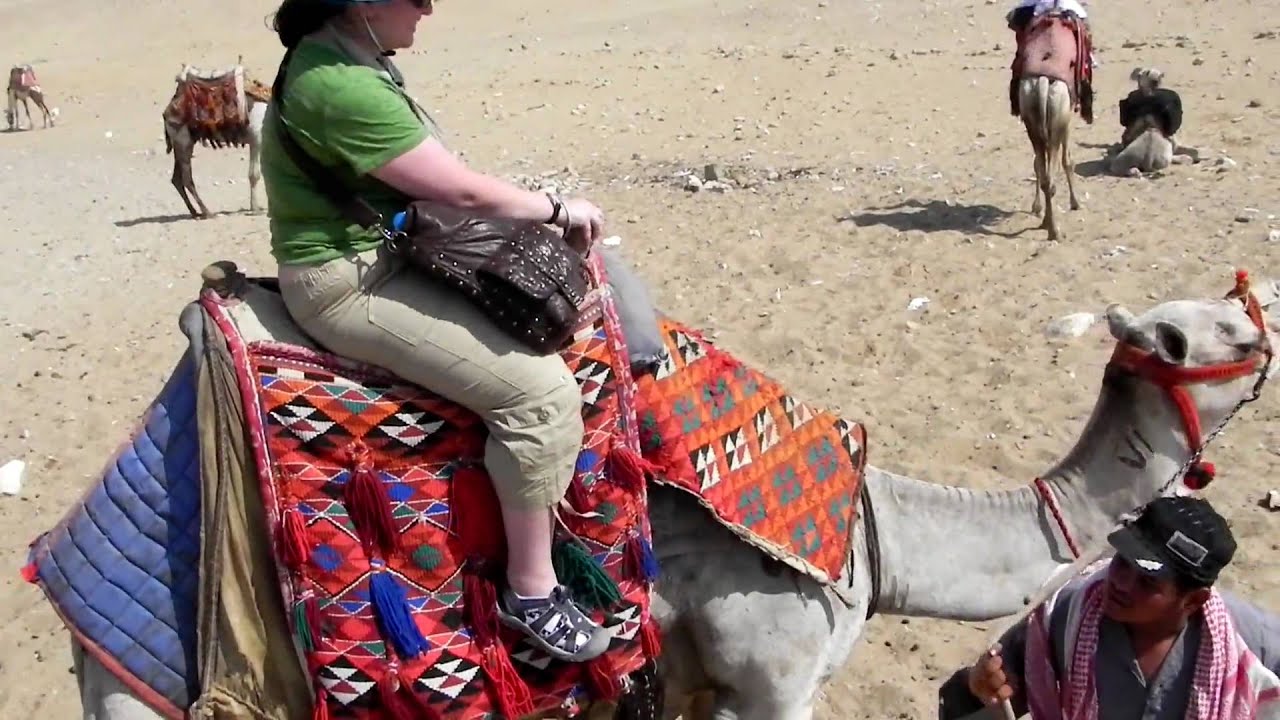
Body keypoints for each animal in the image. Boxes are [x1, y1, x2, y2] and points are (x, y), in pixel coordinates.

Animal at [161, 62, 270, 219]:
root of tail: (167, 111)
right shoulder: (257, 139)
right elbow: (254, 174)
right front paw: (255, 209)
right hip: (183, 141)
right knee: (186, 178)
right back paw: (207, 212)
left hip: (181, 142)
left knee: (177, 178)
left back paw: (194, 212)